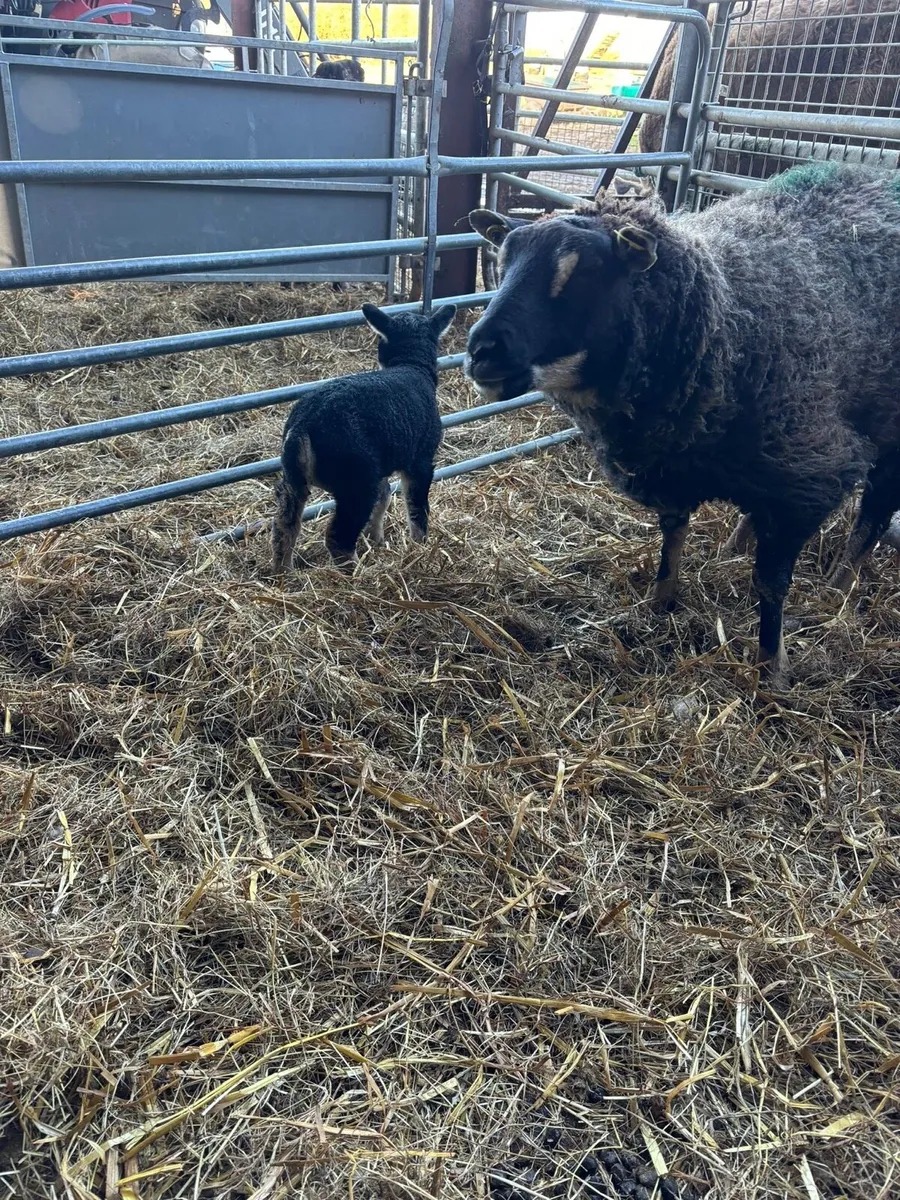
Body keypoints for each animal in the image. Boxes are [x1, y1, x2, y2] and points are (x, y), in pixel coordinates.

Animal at [273, 302, 456, 572]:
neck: (411, 365)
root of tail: (303, 425)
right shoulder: (420, 461)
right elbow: (417, 508)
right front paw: (420, 545)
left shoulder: (379, 464)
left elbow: (385, 496)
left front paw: (376, 539)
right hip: (356, 481)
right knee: (338, 537)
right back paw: (357, 573)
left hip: (297, 478)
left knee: (285, 525)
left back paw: (284, 573)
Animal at [465, 162, 900, 688]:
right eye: (502, 261)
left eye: (584, 271)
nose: (482, 350)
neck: (726, 320)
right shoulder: (672, 464)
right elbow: (671, 537)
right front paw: (660, 603)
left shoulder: (807, 477)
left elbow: (771, 584)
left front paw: (771, 670)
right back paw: (737, 545)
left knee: (875, 510)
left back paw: (837, 590)